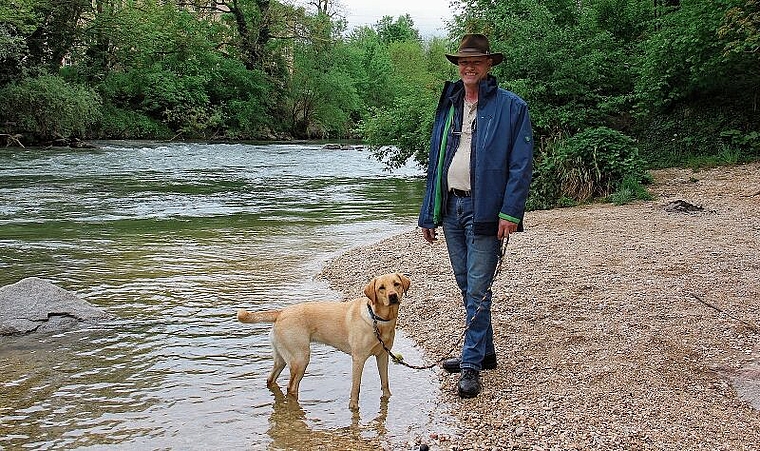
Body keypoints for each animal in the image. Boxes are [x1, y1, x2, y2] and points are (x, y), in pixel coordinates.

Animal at [240, 272, 412, 410]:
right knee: (291, 387)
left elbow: (385, 381)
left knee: (271, 379)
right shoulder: (358, 359)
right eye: (381, 288)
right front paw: (353, 407)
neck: (377, 319)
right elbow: (356, 387)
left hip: (283, 358)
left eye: (396, 284)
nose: (392, 296)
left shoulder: (383, 355)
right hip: (301, 358)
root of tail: (281, 312)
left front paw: (388, 398)